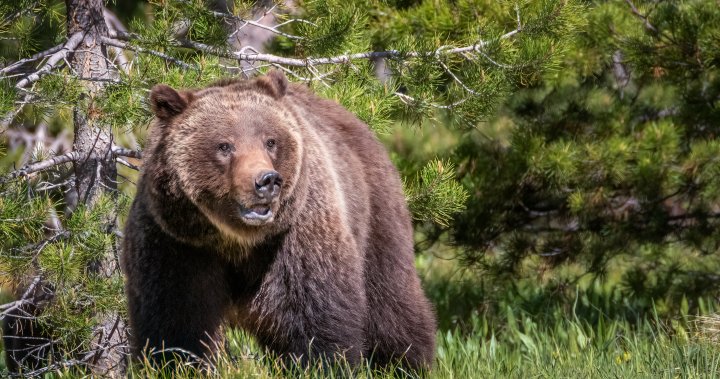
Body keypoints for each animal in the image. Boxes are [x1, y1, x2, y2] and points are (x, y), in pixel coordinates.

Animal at [121, 70, 436, 372]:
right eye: (224, 146)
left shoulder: (297, 235)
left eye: (270, 141)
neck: (235, 240)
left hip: (375, 213)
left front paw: (321, 364)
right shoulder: (176, 241)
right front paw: (175, 361)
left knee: (390, 302)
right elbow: (176, 321)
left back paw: (405, 362)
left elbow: (314, 314)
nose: (267, 180)